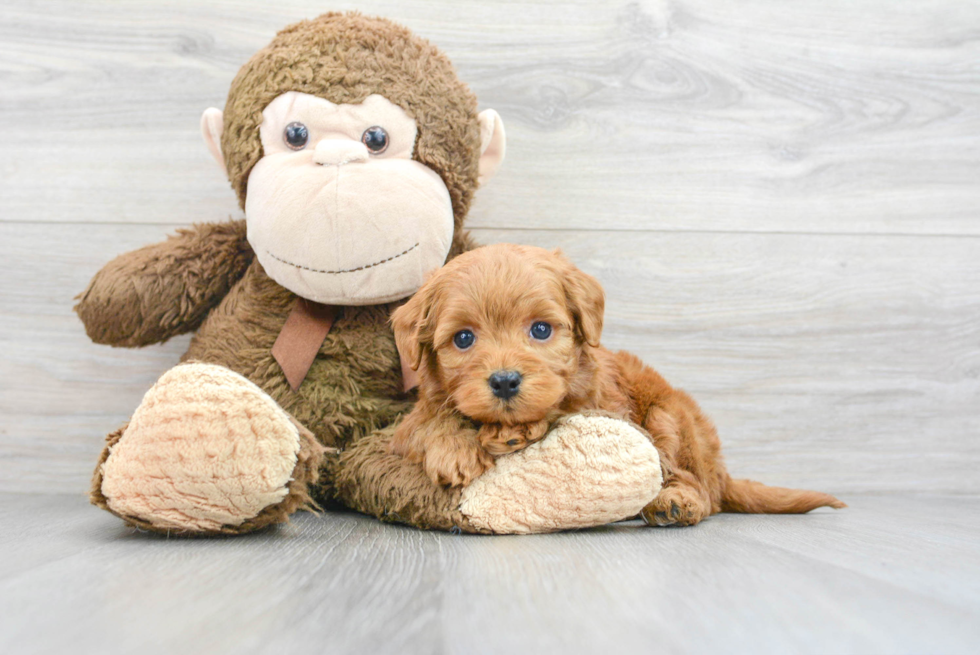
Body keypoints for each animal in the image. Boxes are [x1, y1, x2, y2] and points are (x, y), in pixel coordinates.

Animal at [390, 243, 844, 524]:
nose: (504, 381)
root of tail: (721, 470)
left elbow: (562, 404)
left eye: (541, 330)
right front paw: (455, 447)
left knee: (697, 487)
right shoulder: (411, 419)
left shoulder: (600, 403)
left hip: (670, 420)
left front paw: (514, 429)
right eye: (463, 338)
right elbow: (429, 416)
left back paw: (677, 503)